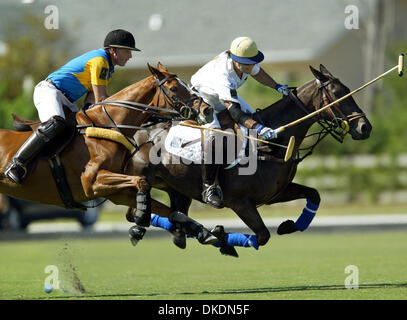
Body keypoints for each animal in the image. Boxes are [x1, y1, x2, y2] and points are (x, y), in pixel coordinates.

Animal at [0, 62, 202, 212]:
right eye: (174, 88)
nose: (204, 108)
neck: (108, 124)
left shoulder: (114, 192)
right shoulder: (92, 182)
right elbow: (141, 181)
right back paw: (14, 170)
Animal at [127, 63, 372, 248]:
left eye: (348, 89)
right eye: (337, 95)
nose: (365, 127)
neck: (270, 145)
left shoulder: (275, 193)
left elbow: (315, 194)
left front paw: (288, 226)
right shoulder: (240, 202)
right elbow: (262, 236)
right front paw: (219, 236)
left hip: (177, 189)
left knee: (162, 214)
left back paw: (184, 232)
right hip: (142, 180)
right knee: (138, 212)